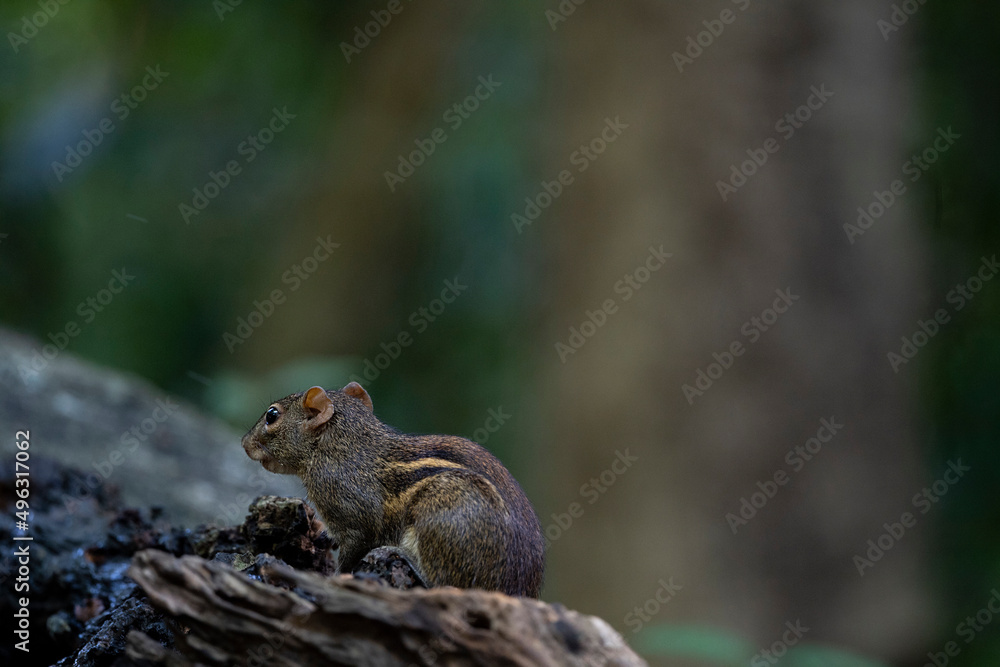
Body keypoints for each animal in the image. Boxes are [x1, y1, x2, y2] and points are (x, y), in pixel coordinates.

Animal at [240, 384, 548, 596]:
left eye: (272, 415)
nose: (244, 442)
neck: (340, 446)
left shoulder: (354, 515)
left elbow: (352, 551)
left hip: (441, 514)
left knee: (444, 584)